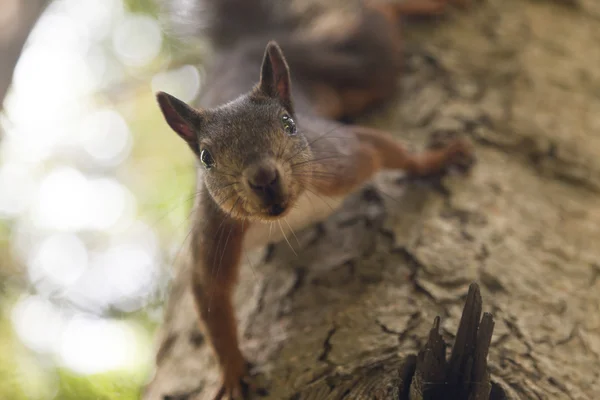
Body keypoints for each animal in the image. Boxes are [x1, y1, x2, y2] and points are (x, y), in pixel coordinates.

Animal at [155, 0, 474, 400]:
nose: (264, 178)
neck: (288, 214)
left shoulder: (344, 157)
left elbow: (387, 149)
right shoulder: (215, 231)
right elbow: (211, 295)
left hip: (353, 70)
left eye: (289, 124)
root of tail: (246, 41)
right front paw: (232, 371)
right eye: (205, 157)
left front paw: (437, 159)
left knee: (374, 25)